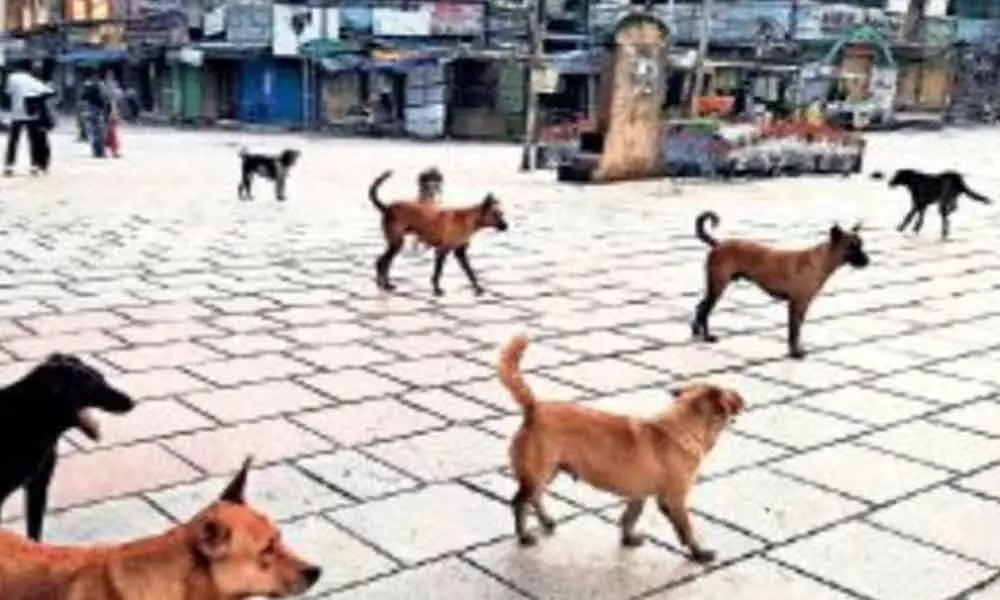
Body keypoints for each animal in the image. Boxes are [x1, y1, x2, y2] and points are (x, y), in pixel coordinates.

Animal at [368, 169, 508, 296]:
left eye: (501, 213)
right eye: (497, 214)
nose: (506, 226)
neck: (469, 218)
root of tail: (387, 208)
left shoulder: (460, 253)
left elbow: (470, 272)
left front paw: (478, 288)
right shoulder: (442, 251)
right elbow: (438, 272)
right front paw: (437, 289)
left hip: (395, 243)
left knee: (384, 262)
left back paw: (384, 284)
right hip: (396, 243)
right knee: (383, 262)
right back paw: (385, 284)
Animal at [500, 332, 744, 564]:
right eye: (730, 395)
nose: (742, 397)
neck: (681, 427)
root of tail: (534, 409)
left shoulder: (638, 494)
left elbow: (629, 518)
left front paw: (628, 539)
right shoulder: (673, 500)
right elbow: (686, 529)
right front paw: (698, 553)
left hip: (548, 472)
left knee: (535, 498)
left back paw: (546, 522)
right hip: (537, 474)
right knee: (519, 502)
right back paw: (523, 536)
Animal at [692, 211, 872, 358]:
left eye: (861, 244)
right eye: (851, 247)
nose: (868, 261)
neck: (820, 260)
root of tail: (718, 244)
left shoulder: (802, 305)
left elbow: (797, 329)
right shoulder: (796, 303)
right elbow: (793, 330)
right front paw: (794, 352)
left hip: (715, 287)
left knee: (700, 307)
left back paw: (696, 332)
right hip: (718, 287)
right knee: (705, 310)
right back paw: (707, 336)